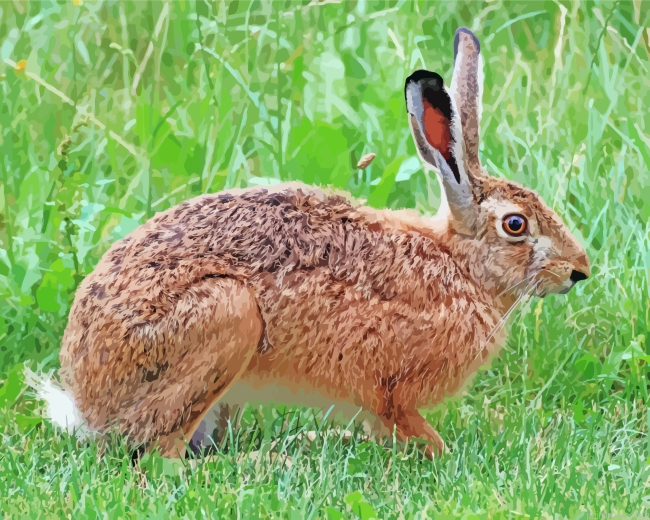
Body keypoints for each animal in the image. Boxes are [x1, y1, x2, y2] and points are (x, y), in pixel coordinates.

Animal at [36, 27, 589, 459]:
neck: (461, 265)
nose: (579, 271)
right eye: (516, 225)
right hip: (227, 313)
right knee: (158, 452)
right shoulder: (391, 388)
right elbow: (404, 422)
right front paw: (440, 451)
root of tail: (86, 399)